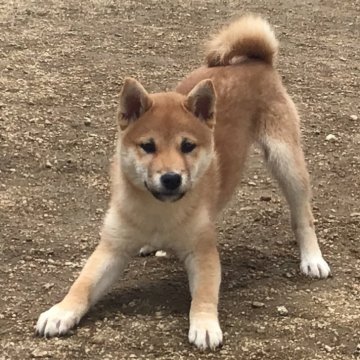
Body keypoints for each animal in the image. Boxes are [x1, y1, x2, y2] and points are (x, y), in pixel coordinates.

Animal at [35, 15, 330, 350]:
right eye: (148, 146)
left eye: (187, 146)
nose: (171, 178)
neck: (159, 212)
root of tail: (256, 60)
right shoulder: (111, 249)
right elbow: (82, 284)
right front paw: (61, 311)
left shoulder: (202, 252)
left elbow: (203, 294)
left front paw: (204, 324)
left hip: (286, 163)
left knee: (303, 217)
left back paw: (312, 259)